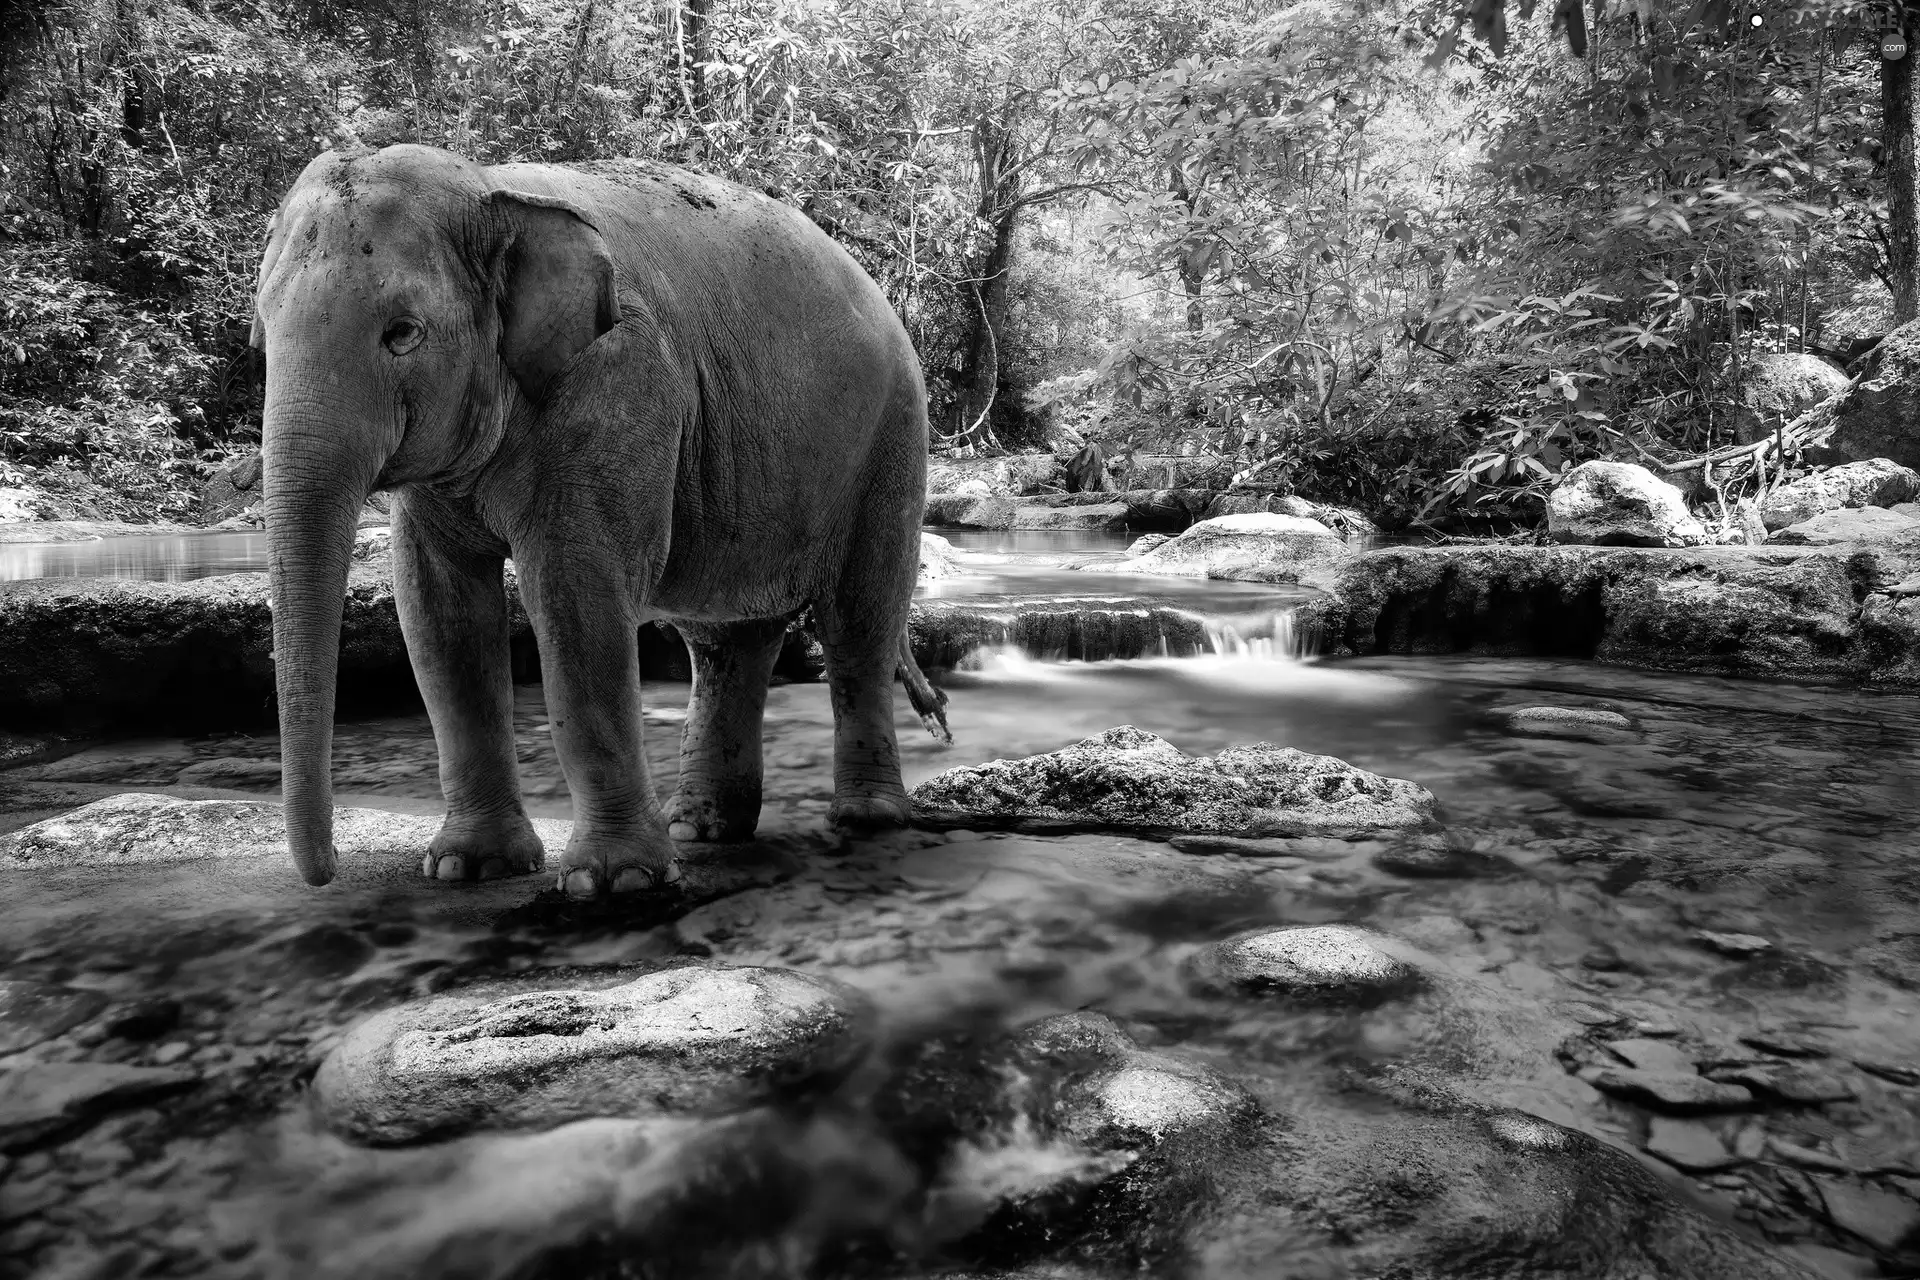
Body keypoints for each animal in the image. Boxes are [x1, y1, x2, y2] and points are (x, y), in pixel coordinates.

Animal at [251, 142, 948, 901]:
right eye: (261, 334)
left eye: (403, 334)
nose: (324, 876)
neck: (493, 190)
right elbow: (440, 616)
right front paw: (468, 867)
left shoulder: (620, 384)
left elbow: (575, 595)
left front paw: (614, 882)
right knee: (726, 641)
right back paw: (699, 828)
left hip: (893, 439)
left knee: (858, 622)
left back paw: (867, 820)